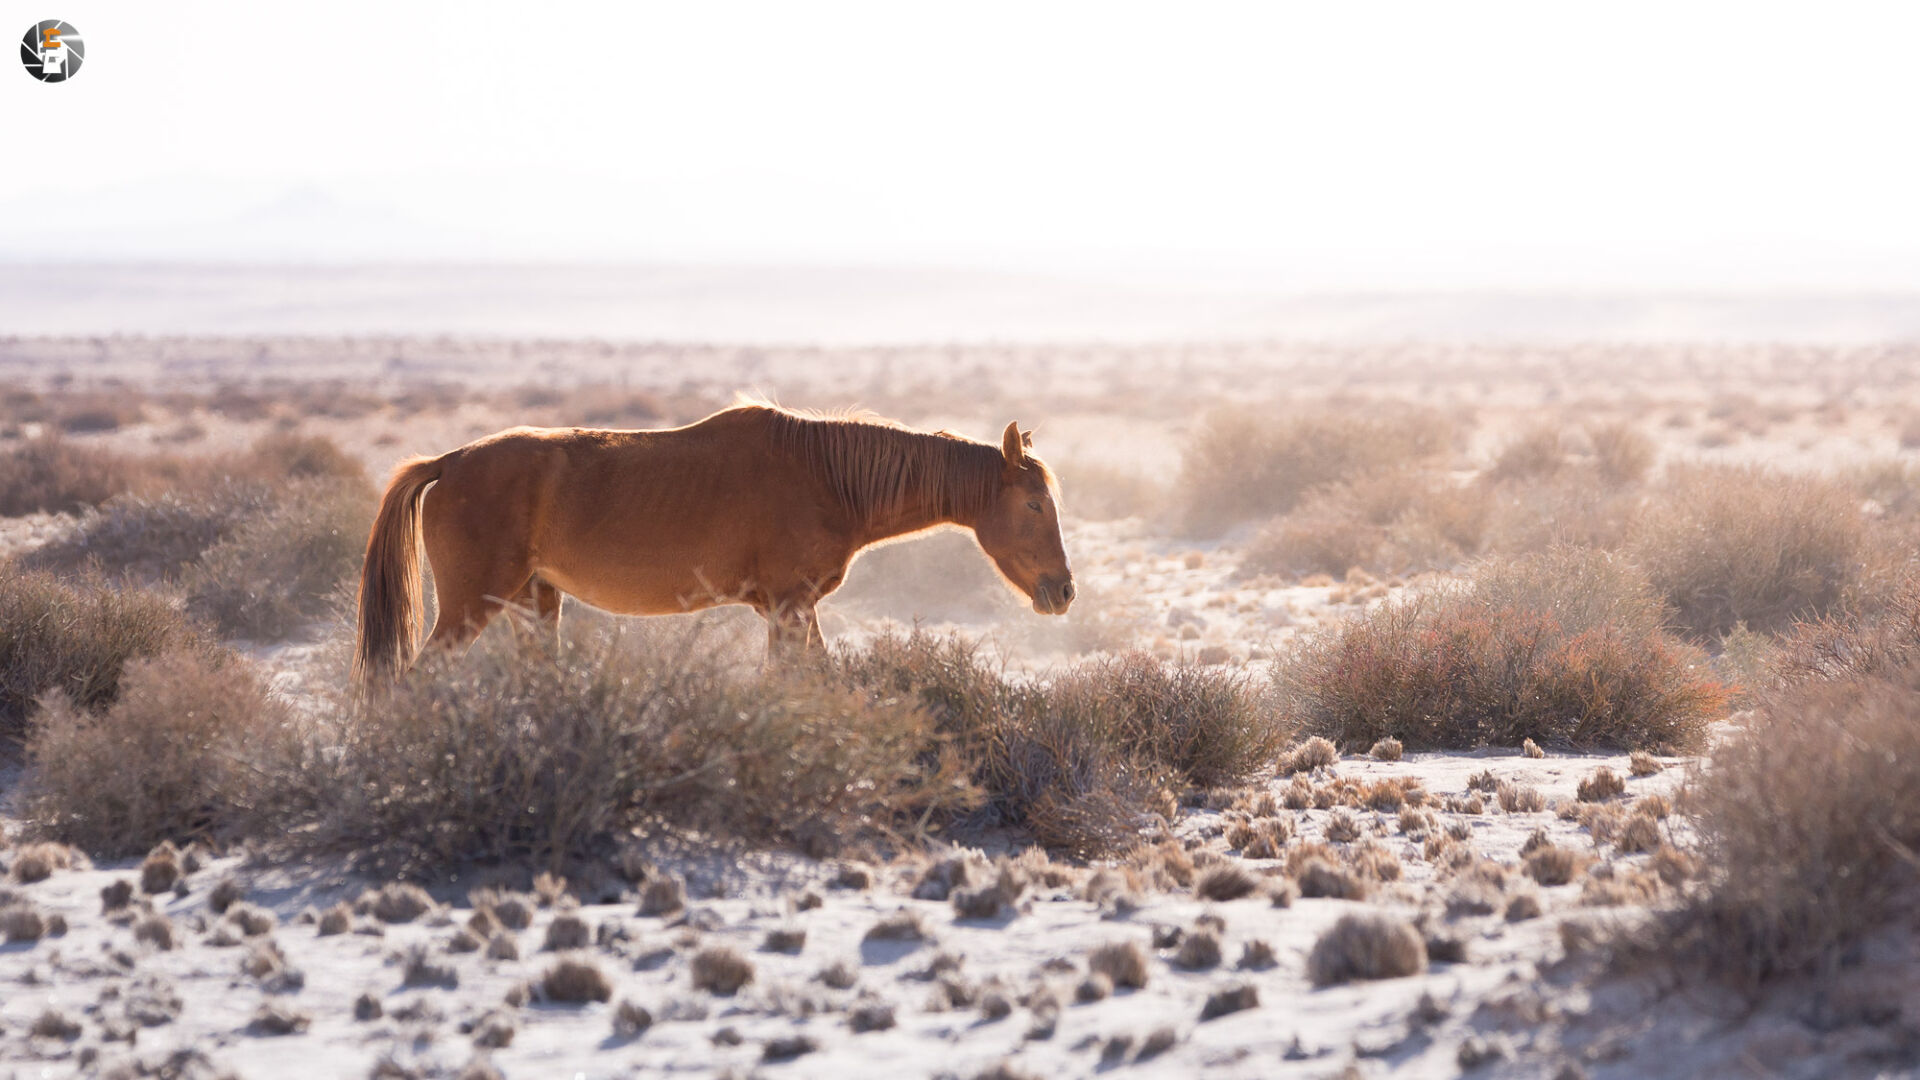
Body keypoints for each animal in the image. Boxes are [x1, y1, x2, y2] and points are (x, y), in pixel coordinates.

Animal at [352, 402, 1075, 684]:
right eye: (1034, 505)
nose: (1063, 592)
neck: (828, 478)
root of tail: (447, 462)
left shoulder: (798, 609)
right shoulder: (788, 606)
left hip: (535, 603)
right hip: (470, 606)